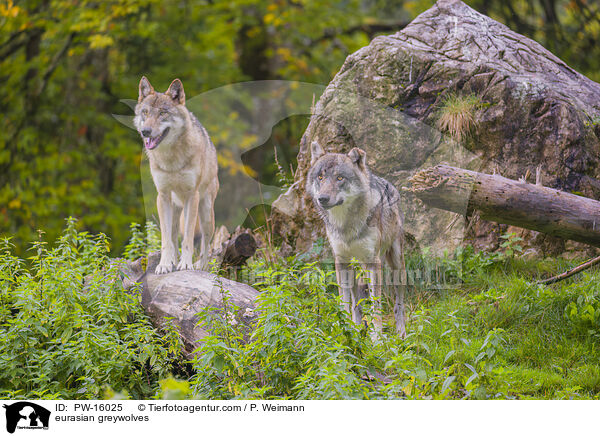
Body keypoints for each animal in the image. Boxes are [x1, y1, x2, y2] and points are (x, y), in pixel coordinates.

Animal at [134, 75, 218, 272]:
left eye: (162, 113)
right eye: (145, 113)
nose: (145, 131)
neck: (171, 159)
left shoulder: (192, 196)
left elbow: (188, 239)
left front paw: (186, 264)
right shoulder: (162, 196)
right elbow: (166, 241)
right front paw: (164, 265)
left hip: (206, 215)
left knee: (206, 245)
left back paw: (200, 267)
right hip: (174, 210)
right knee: (173, 237)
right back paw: (173, 261)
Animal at [304, 143, 408, 338]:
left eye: (340, 178)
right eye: (320, 177)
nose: (322, 198)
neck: (346, 225)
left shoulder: (374, 263)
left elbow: (376, 306)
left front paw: (377, 339)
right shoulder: (341, 262)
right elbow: (344, 303)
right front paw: (344, 332)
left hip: (396, 266)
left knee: (399, 305)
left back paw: (401, 335)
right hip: (356, 269)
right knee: (356, 304)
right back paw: (357, 329)